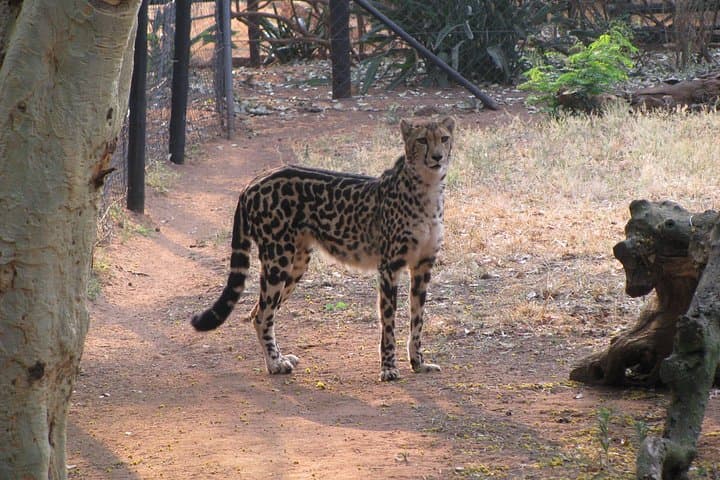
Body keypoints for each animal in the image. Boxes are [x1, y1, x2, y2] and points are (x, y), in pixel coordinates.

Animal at [191, 116, 456, 381]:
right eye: (422, 140)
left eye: (444, 138)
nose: (437, 157)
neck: (427, 187)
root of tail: (254, 181)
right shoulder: (389, 267)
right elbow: (388, 322)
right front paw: (389, 368)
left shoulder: (423, 266)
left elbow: (417, 319)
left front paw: (418, 363)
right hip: (278, 260)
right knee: (262, 314)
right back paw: (275, 364)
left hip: (296, 263)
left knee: (259, 311)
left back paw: (278, 359)